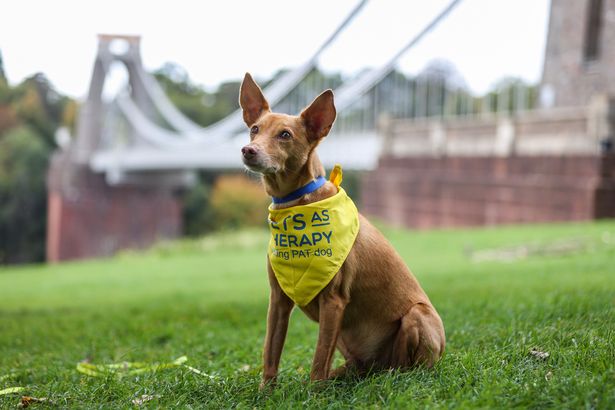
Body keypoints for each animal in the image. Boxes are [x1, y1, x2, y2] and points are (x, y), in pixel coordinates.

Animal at [238, 73, 446, 384]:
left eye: (285, 135)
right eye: (254, 129)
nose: (248, 150)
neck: (297, 204)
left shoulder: (334, 301)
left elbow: (318, 360)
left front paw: (313, 392)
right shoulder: (278, 300)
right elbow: (270, 354)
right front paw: (266, 391)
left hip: (416, 316)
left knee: (404, 368)